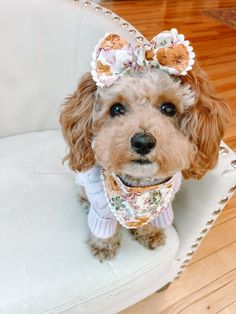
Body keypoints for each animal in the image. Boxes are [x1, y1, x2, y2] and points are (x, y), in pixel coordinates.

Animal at [59, 30, 230, 260]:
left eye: (169, 108)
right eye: (116, 109)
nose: (143, 142)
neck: (140, 188)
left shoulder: (162, 208)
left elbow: (153, 221)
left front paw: (151, 234)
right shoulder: (103, 212)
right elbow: (104, 230)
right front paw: (104, 247)